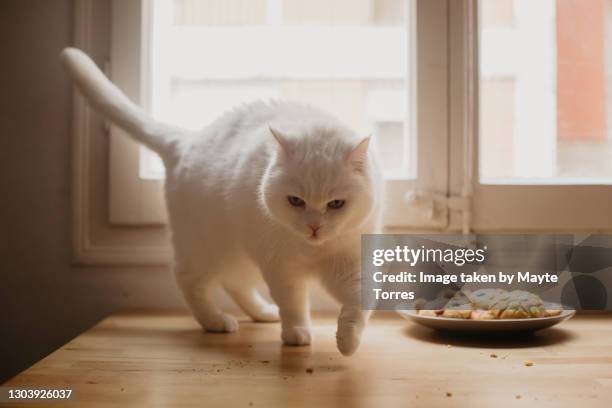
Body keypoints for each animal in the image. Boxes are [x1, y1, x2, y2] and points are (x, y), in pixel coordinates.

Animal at [58, 47, 382, 354]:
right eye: (295, 201)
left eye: (336, 204)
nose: (314, 228)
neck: (314, 249)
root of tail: (188, 140)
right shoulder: (282, 267)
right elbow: (292, 302)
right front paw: (297, 333)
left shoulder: (351, 265)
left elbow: (358, 304)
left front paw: (347, 342)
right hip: (202, 248)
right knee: (190, 281)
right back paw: (215, 321)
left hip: (239, 253)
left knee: (234, 282)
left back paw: (262, 312)